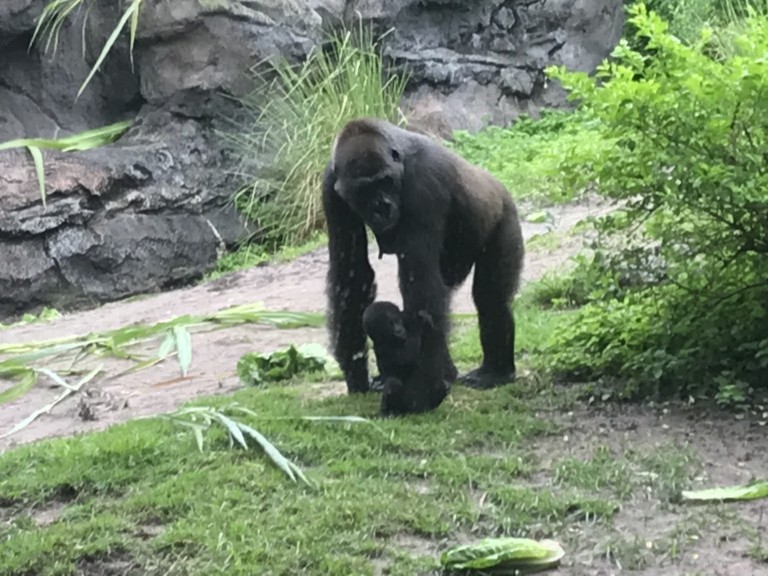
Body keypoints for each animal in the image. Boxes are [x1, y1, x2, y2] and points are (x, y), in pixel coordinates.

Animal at [322, 117, 525, 415]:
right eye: (364, 189)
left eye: (385, 181)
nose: (382, 207)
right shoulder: (330, 188)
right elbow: (351, 272)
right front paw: (356, 375)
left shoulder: (424, 183)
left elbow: (421, 282)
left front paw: (423, 392)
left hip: (504, 217)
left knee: (490, 299)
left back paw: (495, 372)